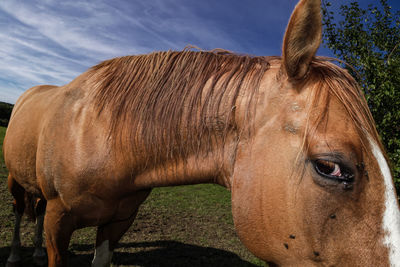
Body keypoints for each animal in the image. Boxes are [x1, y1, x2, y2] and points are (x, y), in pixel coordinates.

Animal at [3, 0, 400, 266]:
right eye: (330, 167)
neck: (103, 136)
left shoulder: (118, 221)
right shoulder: (59, 222)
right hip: (16, 181)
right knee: (23, 211)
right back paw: (17, 254)